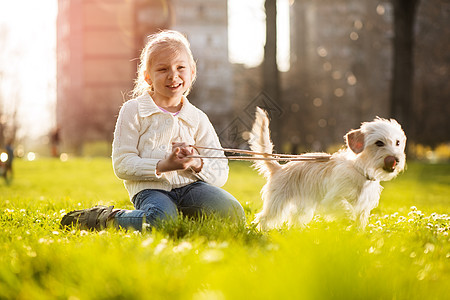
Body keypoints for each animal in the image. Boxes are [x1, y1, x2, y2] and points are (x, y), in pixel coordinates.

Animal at [250, 108, 408, 230]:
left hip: (303, 206)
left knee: (294, 218)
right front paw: (348, 221)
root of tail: (279, 168)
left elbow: (359, 223)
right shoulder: (333, 199)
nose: (396, 160)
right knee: (263, 218)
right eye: (379, 143)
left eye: (397, 142)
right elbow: (347, 209)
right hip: (276, 204)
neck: (361, 171)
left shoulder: (363, 208)